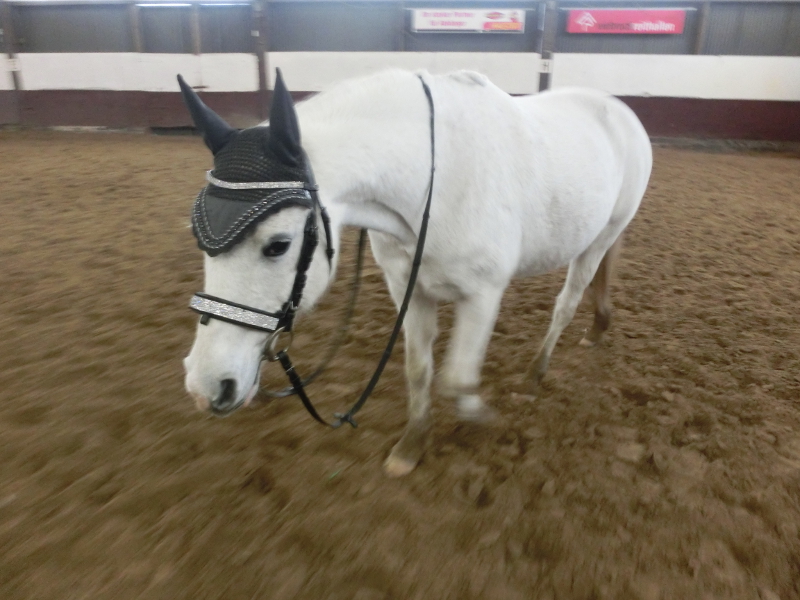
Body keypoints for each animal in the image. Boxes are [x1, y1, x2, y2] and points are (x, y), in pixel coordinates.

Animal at [181, 68, 653, 477]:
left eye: (278, 245)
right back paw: (598, 325)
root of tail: (620, 110)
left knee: (567, 303)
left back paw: (536, 373)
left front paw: (478, 415)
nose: (208, 386)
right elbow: (419, 370)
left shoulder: (483, 294)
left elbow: (458, 378)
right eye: (198, 237)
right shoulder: (408, 288)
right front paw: (412, 445)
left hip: (603, 235)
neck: (433, 182)